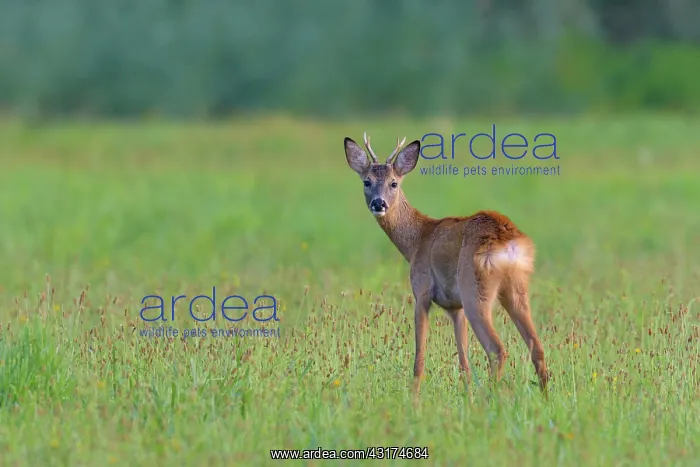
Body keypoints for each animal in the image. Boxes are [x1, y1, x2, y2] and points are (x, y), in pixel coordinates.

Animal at [343, 132, 550, 396]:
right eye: (366, 182)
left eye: (393, 183)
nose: (379, 204)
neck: (417, 240)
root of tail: (508, 240)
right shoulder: (455, 307)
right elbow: (464, 364)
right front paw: (467, 398)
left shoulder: (421, 291)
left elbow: (419, 358)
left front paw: (414, 399)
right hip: (515, 288)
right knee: (537, 347)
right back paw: (544, 399)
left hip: (475, 289)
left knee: (497, 350)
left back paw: (490, 399)